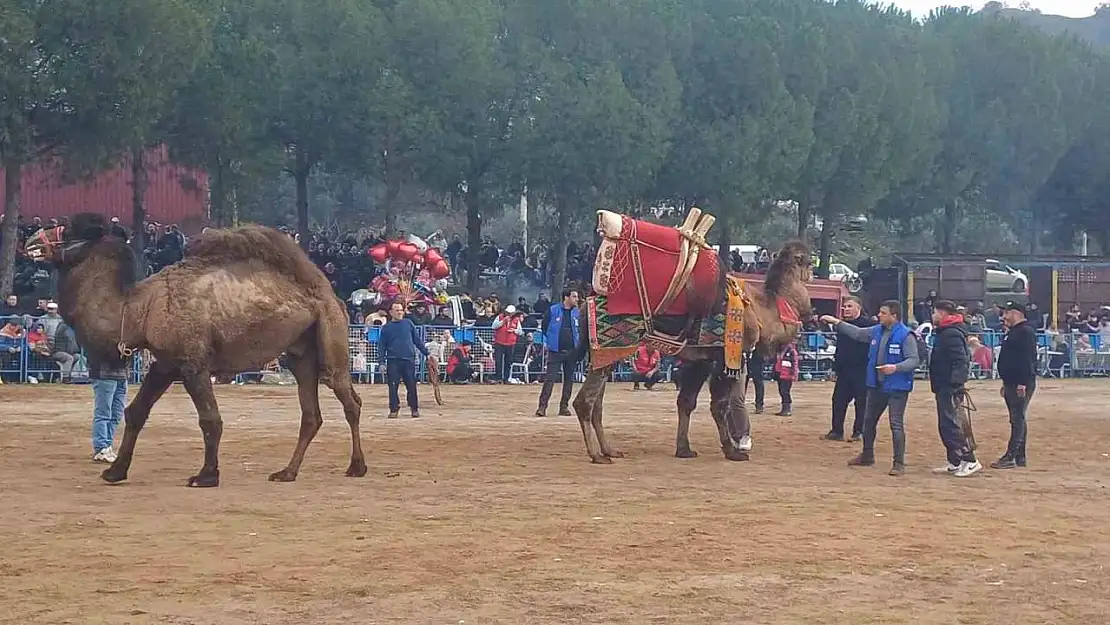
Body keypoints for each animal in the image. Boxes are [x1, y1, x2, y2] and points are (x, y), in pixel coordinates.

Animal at [26, 215, 366, 488]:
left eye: (70, 230)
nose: (31, 241)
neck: (135, 310)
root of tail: (329, 293)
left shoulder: (193, 363)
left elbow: (210, 419)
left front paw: (206, 476)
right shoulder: (166, 363)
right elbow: (135, 412)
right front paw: (115, 472)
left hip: (331, 334)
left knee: (349, 399)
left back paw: (356, 467)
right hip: (300, 352)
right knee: (311, 414)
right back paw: (286, 472)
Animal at [568, 209, 812, 464]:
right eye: (808, 260)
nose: (812, 273)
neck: (765, 310)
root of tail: (587, 304)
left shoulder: (701, 359)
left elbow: (686, 401)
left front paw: (684, 449)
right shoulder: (725, 356)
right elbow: (719, 406)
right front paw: (732, 451)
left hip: (605, 352)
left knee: (597, 403)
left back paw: (609, 450)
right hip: (610, 345)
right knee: (584, 402)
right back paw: (597, 455)